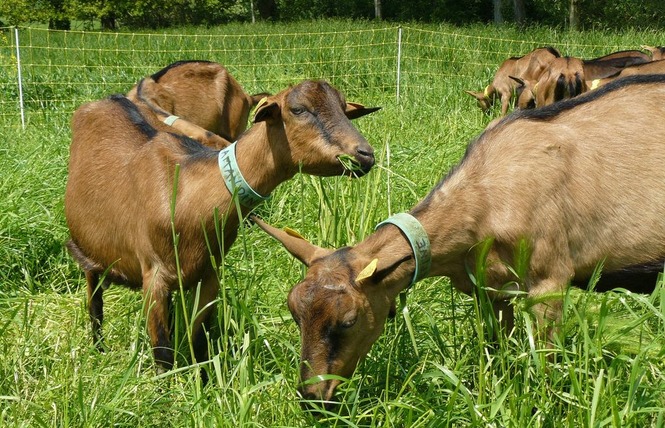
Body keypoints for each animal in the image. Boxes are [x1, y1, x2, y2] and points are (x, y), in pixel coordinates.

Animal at [67, 80, 378, 374]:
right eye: (298, 109)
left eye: (343, 108)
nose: (365, 154)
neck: (189, 189)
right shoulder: (153, 275)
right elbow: (162, 353)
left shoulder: (209, 274)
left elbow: (198, 340)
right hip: (87, 251)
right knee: (94, 301)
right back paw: (98, 348)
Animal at [253, 75, 664, 406]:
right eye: (294, 312)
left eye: (350, 320)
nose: (313, 396)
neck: (488, 195)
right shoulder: (490, 289)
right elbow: (498, 351)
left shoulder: (550, 280)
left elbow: (546, 364)